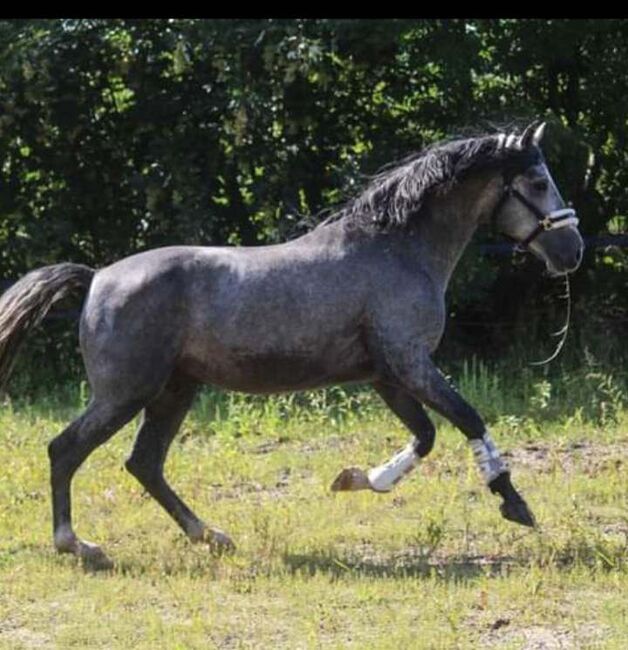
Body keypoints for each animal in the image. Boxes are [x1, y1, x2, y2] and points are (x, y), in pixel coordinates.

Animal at [0, 121, 584, 568]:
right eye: (537, 181)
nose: (573, 250)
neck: (398, 249)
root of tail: (96, 277)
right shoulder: (411, 364)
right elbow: (467, 420)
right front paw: (516, 506)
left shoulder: (387, 375)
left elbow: (425, 436)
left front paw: (354, 480)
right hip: (127, 392)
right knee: (66, 450)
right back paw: (80, 546)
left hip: (174, 391)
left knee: (144, 464)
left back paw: (211, 536)